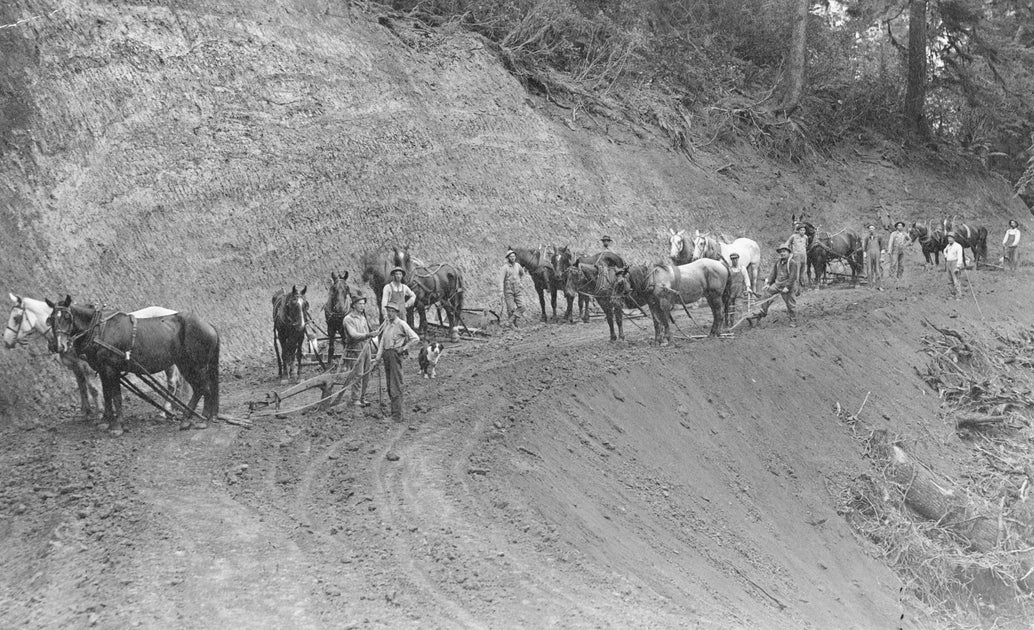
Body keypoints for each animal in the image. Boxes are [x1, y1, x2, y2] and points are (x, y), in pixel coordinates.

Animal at [3, 293, 188, 422]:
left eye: (16, 318)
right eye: (51, 320)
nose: (6, 341)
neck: (87, 330)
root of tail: (172, 312)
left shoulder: (89, 367)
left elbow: (94, 389)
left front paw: (100, 413)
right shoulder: (76, 367)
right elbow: (83, 388)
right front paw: (86, 412)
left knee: (172, 383)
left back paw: (165, 410)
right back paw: (175, 406)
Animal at [47, 295, 221, 434]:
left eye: (67, 317)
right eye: (51, 319)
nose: (58, 346)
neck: (100, 329)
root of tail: (209, 325)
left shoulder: (111, 369)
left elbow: (116, 396)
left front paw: (117, 426)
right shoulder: (103, 370)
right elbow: (107, 395)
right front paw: (106, 421)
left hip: (194, 365)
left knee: (203, 388)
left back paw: (201, 420)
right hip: (186, 364)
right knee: (200, 389)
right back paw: (191, 418)